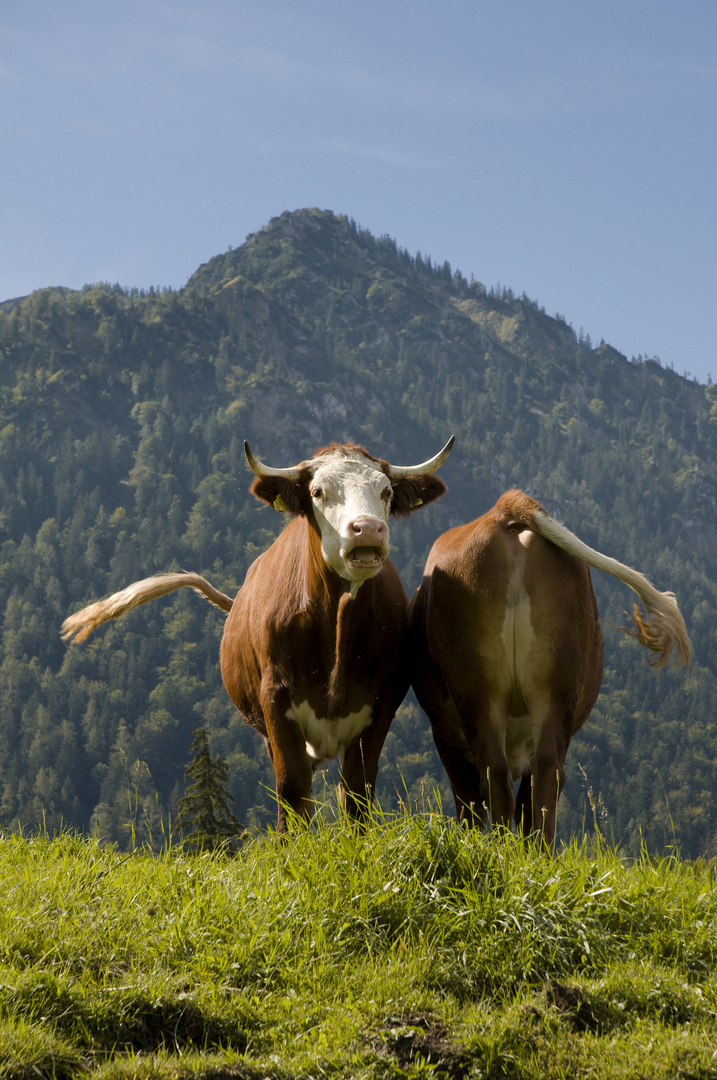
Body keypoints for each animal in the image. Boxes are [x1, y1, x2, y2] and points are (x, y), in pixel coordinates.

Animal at [62, 434, 453, 829]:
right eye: (318, 491)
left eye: (386, 491)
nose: (368, 529)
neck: (336, 629)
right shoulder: (275, 700)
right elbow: (292, 788)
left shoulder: (380, 705)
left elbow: (357, 793)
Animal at [406, 488, 691, 842]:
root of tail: (502, 511)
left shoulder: (448, 740)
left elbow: (475, 804)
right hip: (554, 690)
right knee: (542, 774)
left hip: (481, 694)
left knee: (497, 776)